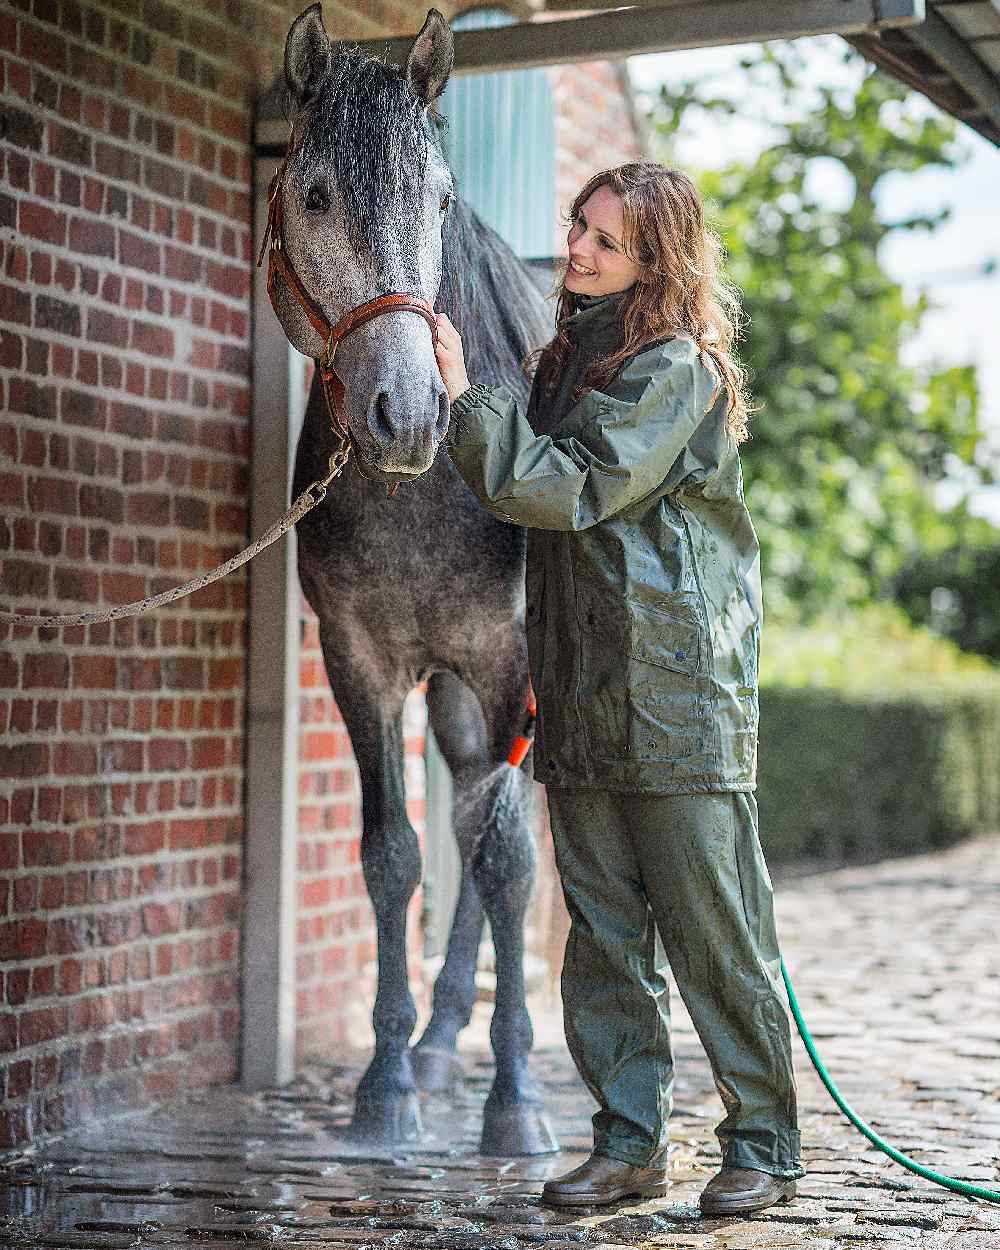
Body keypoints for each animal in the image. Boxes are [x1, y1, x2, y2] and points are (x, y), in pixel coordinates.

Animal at [265, 2, 557, 1150]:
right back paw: (437, 1045)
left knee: (510, 833)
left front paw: (516, 1103)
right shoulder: (361, 664)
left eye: (439, 198)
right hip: (456, 698)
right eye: (312, 193)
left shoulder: (514, 662)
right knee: (471, 817)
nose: (409, 413)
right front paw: (386, 1084)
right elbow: (393, 855)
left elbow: (511, 859)